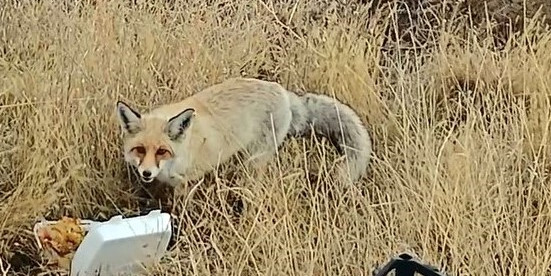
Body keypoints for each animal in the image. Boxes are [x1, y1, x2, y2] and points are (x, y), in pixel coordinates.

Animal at [117, 76, 376, 187]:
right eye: (140, 150)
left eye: (162, 151)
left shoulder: (191, 180)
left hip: (253, 161)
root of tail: (284, 93)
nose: (146, 173)